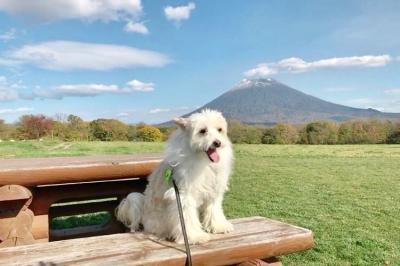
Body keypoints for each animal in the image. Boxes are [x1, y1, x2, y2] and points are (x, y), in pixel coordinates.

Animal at [115, 109, 234, 244]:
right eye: (203, 131)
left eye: (220, 130)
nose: (217, 143)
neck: (203, 161)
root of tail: (143, 215)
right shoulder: (184, 196)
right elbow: (187, 218)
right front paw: (194, 236)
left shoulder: (213, 192)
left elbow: (214, 210)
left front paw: (219, 226)